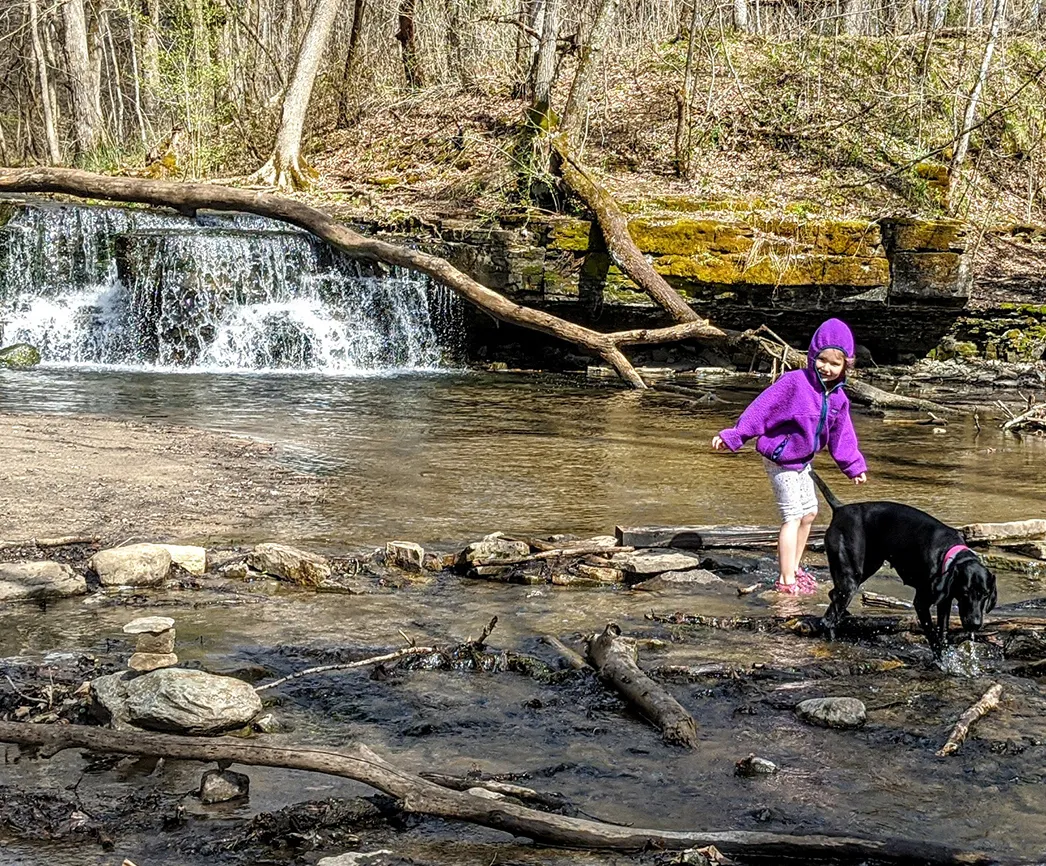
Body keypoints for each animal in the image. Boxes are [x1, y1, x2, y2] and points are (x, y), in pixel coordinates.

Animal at [807, 470, 995, 661]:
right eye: (965, 593)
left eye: (985, 594)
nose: (975, 624)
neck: (948, 551)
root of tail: (840, 509)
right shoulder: (921, 603)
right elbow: (932, 635)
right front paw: (940, 661)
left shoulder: (945, 601)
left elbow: (942, 633)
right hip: (851, 579)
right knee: (828, 619)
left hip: (867, 567)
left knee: (833, 595)